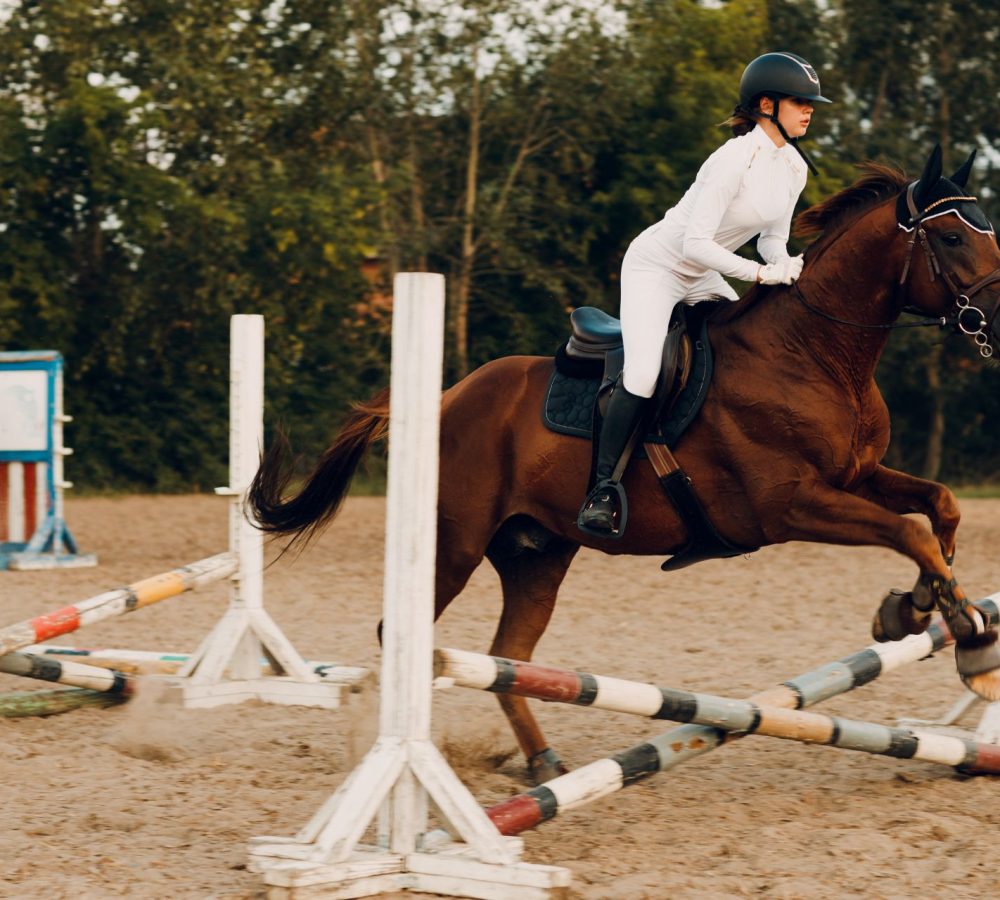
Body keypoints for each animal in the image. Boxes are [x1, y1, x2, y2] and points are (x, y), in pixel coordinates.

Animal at [249, 145, 1000, 784]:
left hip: (536, 554)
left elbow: (938, 508)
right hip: (452, 543)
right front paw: (956, 623)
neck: (813, 352)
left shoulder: (855, 478)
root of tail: (444, 398)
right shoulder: (789, 504)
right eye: (953, 238)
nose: (996, 317)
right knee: (405, 635)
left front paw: (925, 603)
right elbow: (908, 530)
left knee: (511, 655)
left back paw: (544, 762)